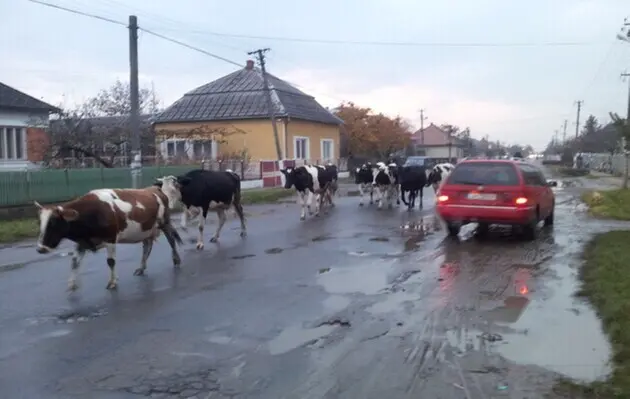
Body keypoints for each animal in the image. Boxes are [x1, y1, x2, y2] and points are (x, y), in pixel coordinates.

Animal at [34, 186, 184, 292]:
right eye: (39, 222)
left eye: (53, 223)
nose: (40, 249)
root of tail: (154, 188)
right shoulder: (82, 242)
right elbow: (74, 262)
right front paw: (71, 284)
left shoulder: (110, 238)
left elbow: (111, 262)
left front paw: (112, 282)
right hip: (145, 230)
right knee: (147, 246)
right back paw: (141, 268)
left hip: (164, 223)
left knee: (171, 240)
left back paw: (176, 259)